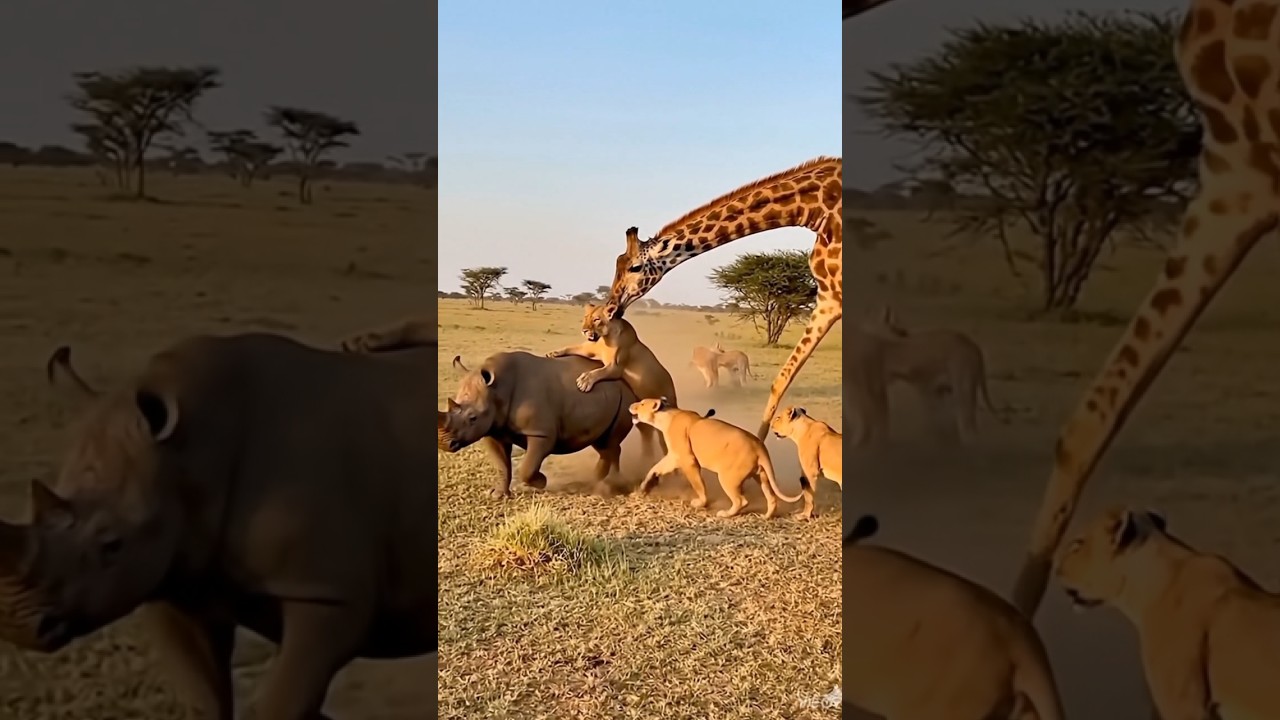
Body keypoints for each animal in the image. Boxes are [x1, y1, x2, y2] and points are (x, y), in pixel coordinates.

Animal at [629, 397, 812, 519]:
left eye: (642, 403)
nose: (631, 405)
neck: (667, 416)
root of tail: (759, 446)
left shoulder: (688, 460)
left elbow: (698, 484)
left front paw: (701, 503)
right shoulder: (673, 456)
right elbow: (655, 468)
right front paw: (644, 487)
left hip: (727, 477)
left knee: (741, 500)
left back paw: (725, 514)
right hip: (761, 476)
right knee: (772, 498)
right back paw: (766, 516)